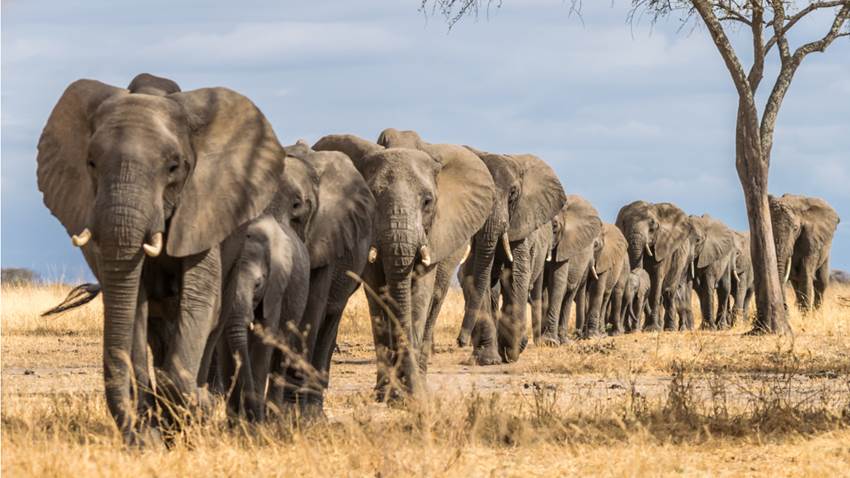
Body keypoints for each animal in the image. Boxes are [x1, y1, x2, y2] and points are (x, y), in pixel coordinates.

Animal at [36, 74, 286, 443]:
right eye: (91, 163)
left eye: (173, 167)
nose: (135, 435)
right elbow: (132, 308)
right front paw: (152, 433)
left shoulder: (204, 207)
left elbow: (199, 301)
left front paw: (196, 407)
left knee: (214, 320)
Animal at [313, 133, 494, 400]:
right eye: (372, 197)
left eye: (428, 201)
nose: (409, 393)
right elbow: (378, 296)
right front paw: (387, 393)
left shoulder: (435, 233)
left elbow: (419, 295)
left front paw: (410, 393)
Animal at [453, 147, 566, 364]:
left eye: (513, 193)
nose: (460, 341)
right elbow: (476, 277)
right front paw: (488, 359)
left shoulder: (521, 226)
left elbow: (514, 276)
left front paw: (512, 350)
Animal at [540, 195, 603, 345]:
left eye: (555, 226)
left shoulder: (565, 244)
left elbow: (558, 282)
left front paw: (550, 342)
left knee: (569, 293)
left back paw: (564, 341)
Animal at [615, 201, 692, 332]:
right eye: (624, 224)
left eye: (652, 228)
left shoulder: (663, 245)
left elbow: (657, 279)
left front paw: (653, 329)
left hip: (682, 259)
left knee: (669, 292)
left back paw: (669, 328)